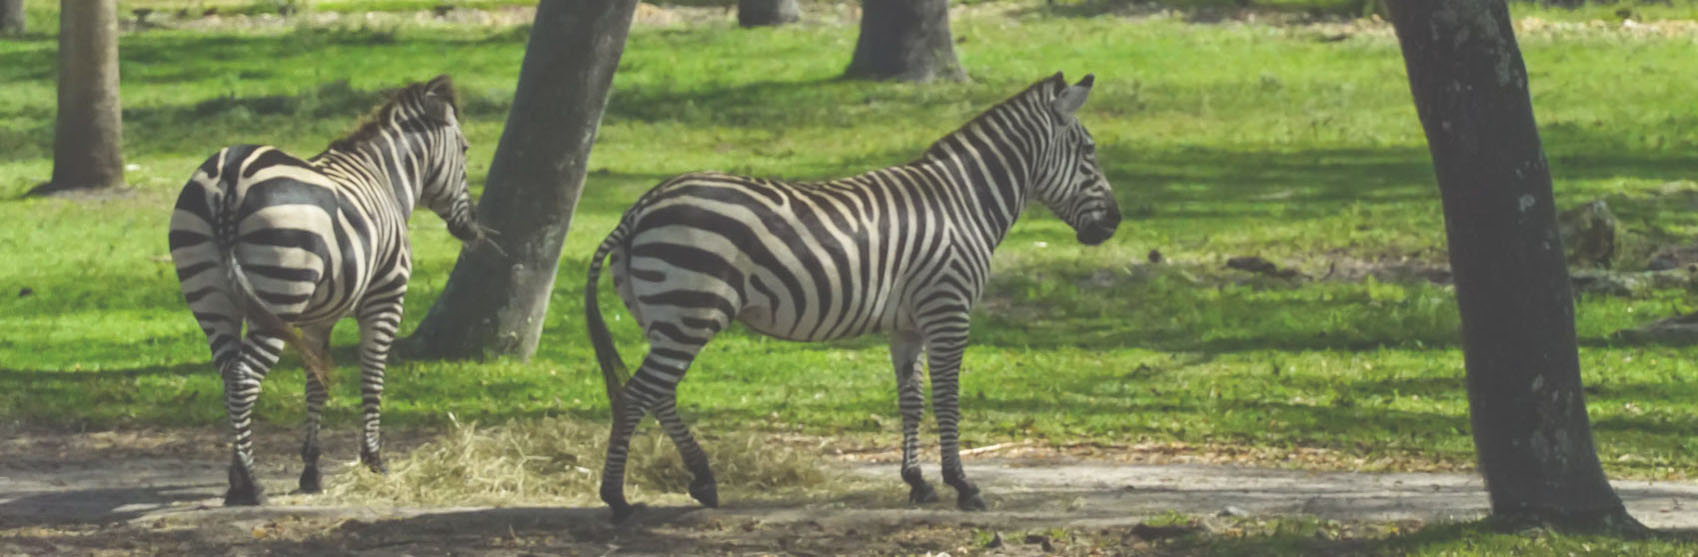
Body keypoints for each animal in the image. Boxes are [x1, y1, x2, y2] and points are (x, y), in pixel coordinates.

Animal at [167, 73, 492, 506]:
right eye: (466, 149)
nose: (471, 226)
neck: (385, 178)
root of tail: (230, 175)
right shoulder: (386, 300)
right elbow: (372, 376)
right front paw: (374, 460)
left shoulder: (317, 319)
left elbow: (316, 384)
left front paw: (311, 469)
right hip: (278, 293)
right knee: (243, 378)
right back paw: (250, 485)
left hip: (211, 299)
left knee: (227, 372)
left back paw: (236, 478)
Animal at [590, 71, 1120, 519]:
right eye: (1089, 152)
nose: (1115, 223)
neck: (963, 202)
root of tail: (640, 207)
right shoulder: (948, 309)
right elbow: (947, 399)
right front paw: (963, 486)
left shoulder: (908, 324)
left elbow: (912, 401)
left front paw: (918, 483)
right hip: (691, 312)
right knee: (637, 394)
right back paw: (617, 499)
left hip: (663, 318)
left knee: (659, 394)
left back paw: (703, 482)